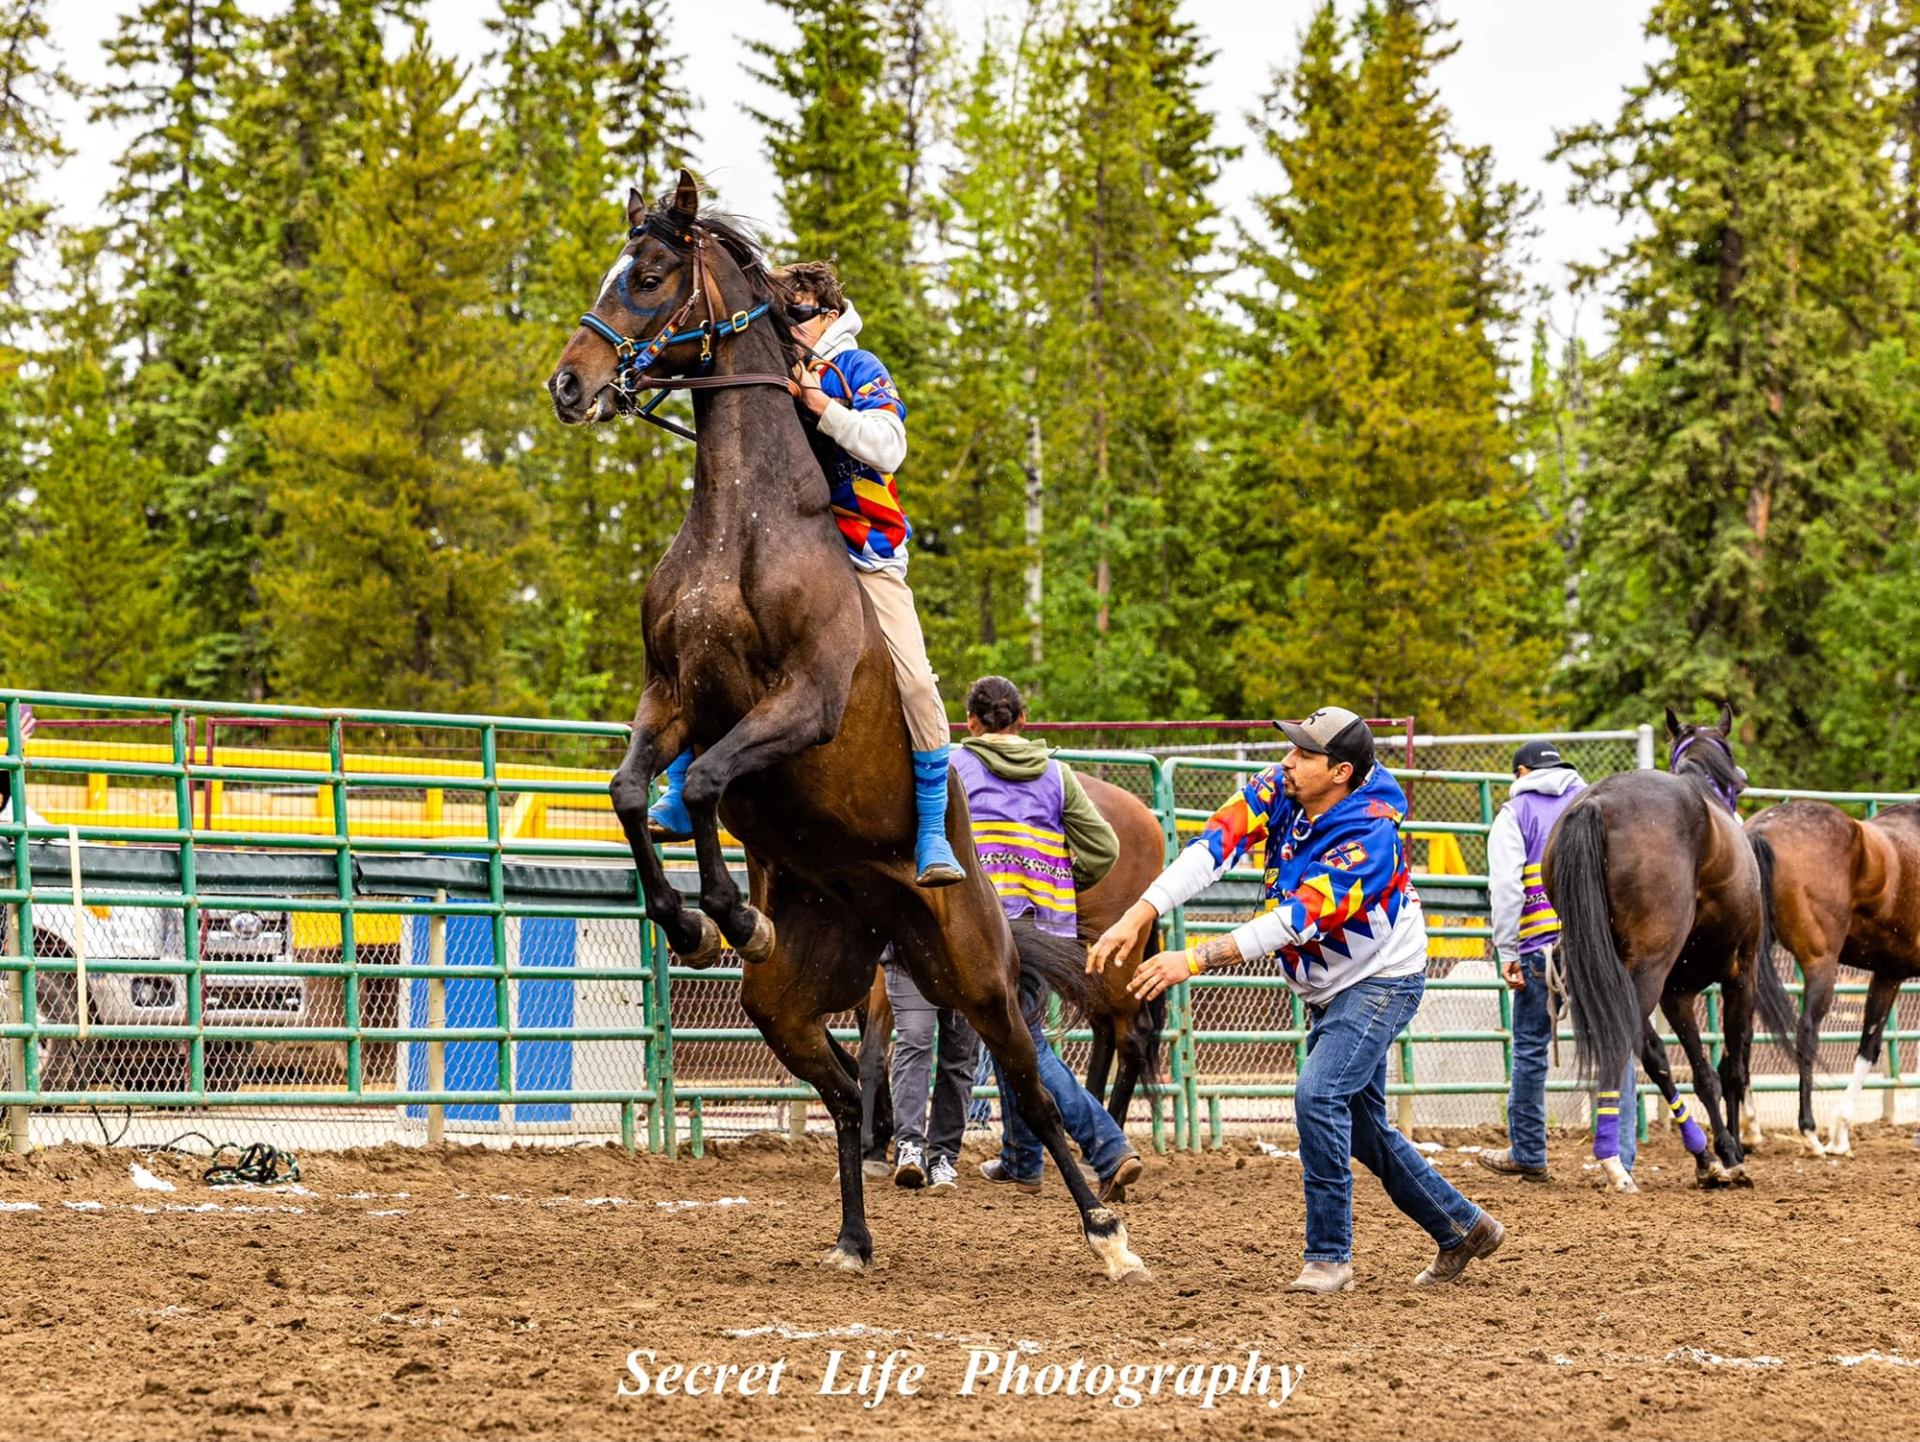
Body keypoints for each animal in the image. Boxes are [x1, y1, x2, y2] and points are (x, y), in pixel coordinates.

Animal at [547, 173, 1146, 1281]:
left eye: (647, 274)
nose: (571, 384)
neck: (746, 523)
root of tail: (886, 912)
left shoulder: (801, 704)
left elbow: (706, 781)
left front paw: (727, 912)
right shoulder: (672, 694)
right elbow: (633, 788)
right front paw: (687, 917)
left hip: (978, 976)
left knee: (1032, 1089)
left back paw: (1107, 1230)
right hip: (792, 997)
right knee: (837, 1083)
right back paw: (856, 1234)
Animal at [1543, 702, 1798, 1192]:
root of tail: (1596, 804)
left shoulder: (1677, 993)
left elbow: (1701, 1073)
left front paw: (1720, 1153)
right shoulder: (1743, 975)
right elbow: (1731, 1069)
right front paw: (1735, 1152)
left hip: (1618, 974)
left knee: (1651, 1052)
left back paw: (1700, 1154)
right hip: (1648, 969)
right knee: (1627, 1040)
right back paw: (1613, 1160)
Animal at [1746, 799, 1920, 1156]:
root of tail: (1763, 826)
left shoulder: (1888, 974)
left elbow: (1869, 1046)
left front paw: (1841, 1133)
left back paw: (1750, 1129)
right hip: (1821, 965)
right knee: (1807, 1034)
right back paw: (1809, 1133)